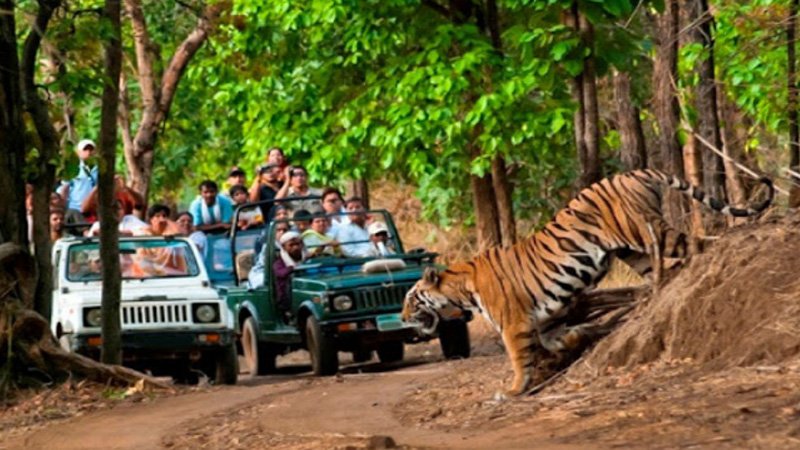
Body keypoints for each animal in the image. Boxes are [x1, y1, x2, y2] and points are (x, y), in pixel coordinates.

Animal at [402, 169, 773, 396]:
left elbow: (518, 359)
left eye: (411, 299)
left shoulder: (513, 324)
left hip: (643, 230)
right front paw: (576, 339)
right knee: (666, 265)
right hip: (631, 250)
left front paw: (513, 390)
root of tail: (633, 172)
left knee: (694, 244)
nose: (402, 318)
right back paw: (655, 296)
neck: (460, 290)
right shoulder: (544, 318)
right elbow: (553, 340)